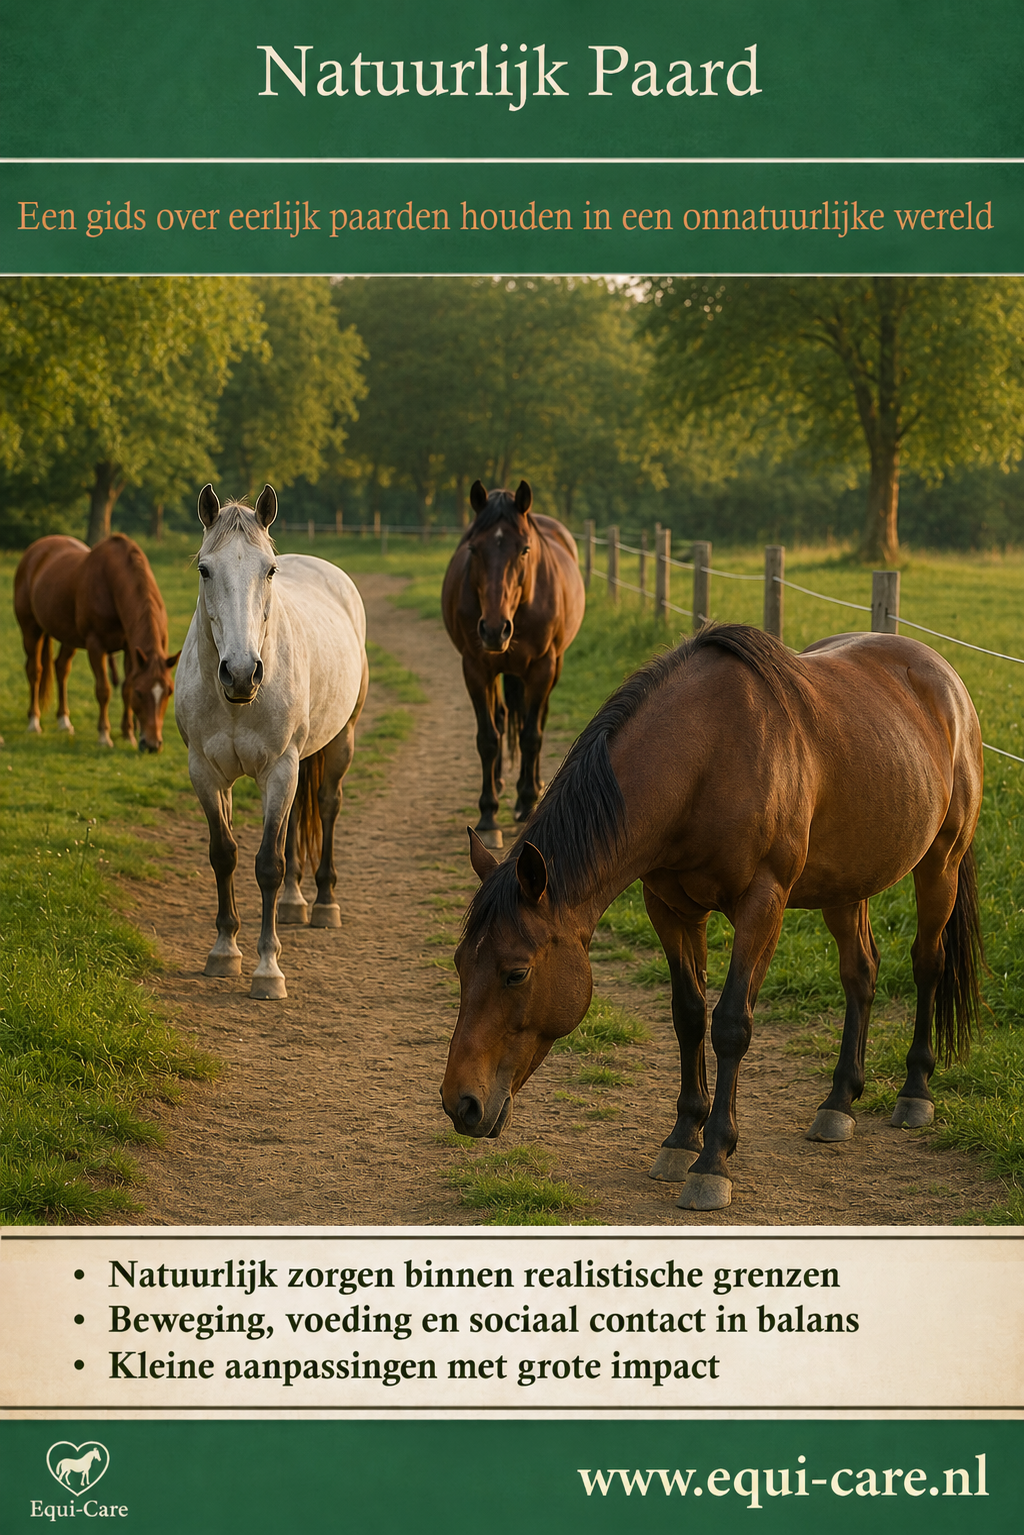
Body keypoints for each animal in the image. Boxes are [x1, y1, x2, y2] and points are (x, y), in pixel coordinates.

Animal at [14, 533, 181, 750]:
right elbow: (104, 690)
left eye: (169, 692)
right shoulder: (96, 646)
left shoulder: (130, 649)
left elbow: (125, 688)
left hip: (69, 638)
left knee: (61, 668)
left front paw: (128, 734)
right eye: (140, 693)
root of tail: (35, 551)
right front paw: (104, 735)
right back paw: (34, 722)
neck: (112, 584)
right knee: (35, 670)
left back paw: (64, 721)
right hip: (31, 629)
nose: (152, 745)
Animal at [174, 484, 368, 1001]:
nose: (242, 673)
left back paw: (323, 903)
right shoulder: (205, 772)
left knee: (326, 804)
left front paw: (267, 969)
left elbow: (268, 864)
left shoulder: (279, 769)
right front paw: (224, 951)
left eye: (269, 570)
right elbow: (224, 854)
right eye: (205, 569)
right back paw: (295, 903)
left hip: (339, 741)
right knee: (298, 817)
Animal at [441, 480, 585, 850]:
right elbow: (488, 737)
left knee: (535, 721)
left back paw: (529, 790)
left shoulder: (542, 668)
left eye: (524, 550)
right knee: (503, 718)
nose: (494, 629)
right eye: (473, 549)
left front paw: (528, 800)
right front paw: (489, 816)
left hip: (552, 666)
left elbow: (532, 734)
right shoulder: (476, 667)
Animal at [442, 624, 984, 1212]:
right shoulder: (670, 908)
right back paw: (839, 1102)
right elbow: (687, 1015)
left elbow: (730, 1024)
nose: (460, 1104)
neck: (704, 760)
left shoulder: (762, 903)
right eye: (460, 964)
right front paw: (682, 1138)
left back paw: (915, 1092)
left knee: (927, 964)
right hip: (847, 885)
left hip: (941, 862)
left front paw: (713, 1160)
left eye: (516, 973)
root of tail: (941, 673)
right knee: (860, 972)